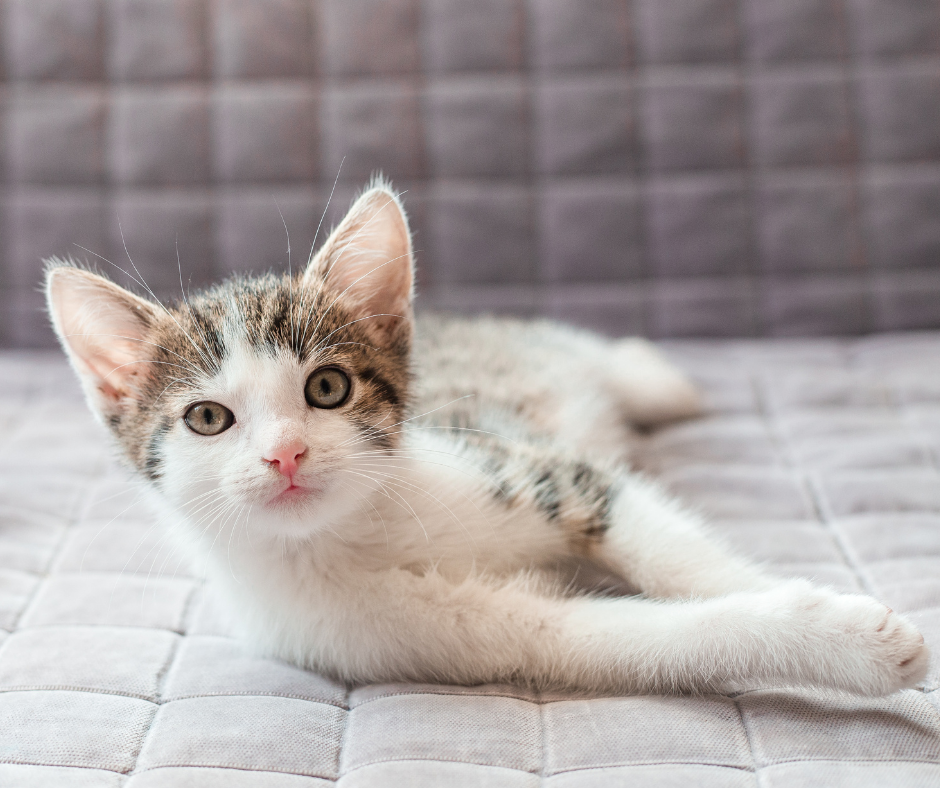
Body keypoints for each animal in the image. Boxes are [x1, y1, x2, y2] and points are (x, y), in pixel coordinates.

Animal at [44, 180, 924, 696]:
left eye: (327, 388)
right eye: (207, 418)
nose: (286, 454)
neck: (360, 530)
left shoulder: (537, 468)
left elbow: (679, 555)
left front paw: (827, 609)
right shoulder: (409, 633)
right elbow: (631, 637)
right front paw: (842, 640)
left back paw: (655, 375)